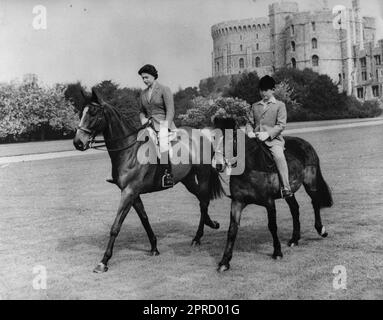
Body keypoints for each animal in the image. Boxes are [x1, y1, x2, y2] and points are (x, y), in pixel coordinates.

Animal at [73, 89, 225, 272]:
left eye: (94, 113)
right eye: (81, 113)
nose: (78, 142)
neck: (129, 149)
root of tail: (202, 134)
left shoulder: (128, 192)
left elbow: (116, 226)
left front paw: (103, 261)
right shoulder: (133, 193)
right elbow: (144, 219)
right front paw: (154, 247)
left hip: (202, 175)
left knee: (203, 202)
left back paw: (198, 237)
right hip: (187, 180)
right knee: (202, 199)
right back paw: (211, 224)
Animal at [214, 117, 334, 272]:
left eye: (231, 139)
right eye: (213, 138)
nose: (218, 165)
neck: (250, 167)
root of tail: (304, 143)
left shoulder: (269, 202)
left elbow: (272, 226)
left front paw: (277, 252)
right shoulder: (237, 202)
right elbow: (232, 230)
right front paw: (225, 261)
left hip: (310, 183)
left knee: (315, 203)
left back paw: (321, 230)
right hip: (289, 190)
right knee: (295, 209)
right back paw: (294, 239)